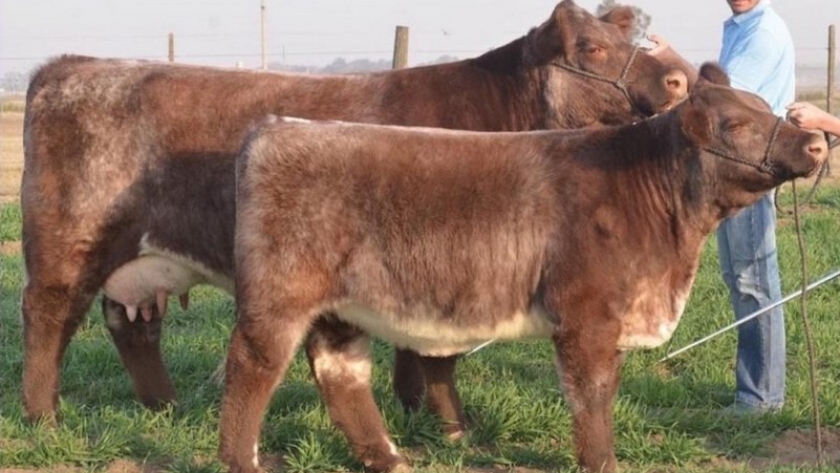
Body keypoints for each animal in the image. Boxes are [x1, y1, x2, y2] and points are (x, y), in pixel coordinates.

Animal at [20, 0, 689, 426]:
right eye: (593, 48)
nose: (681, 79)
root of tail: (70, 66)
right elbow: (428, 350)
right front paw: (433, 417)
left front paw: (420, 413)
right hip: (69, 240)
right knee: (49, 316)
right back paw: (43, 416)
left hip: (142, 258)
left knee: (132, 323)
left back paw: (166, 408)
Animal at [219, 64, 828, 473]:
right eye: (737, 124)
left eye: (769, 109)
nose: (817, 142)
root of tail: (277, 127)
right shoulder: (586, 317)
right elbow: (592, 394)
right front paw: (602, 461)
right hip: (279, 297)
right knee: (252, 367)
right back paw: (243, 459)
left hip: (339, 308)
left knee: (340, 376)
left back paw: (390, 457)